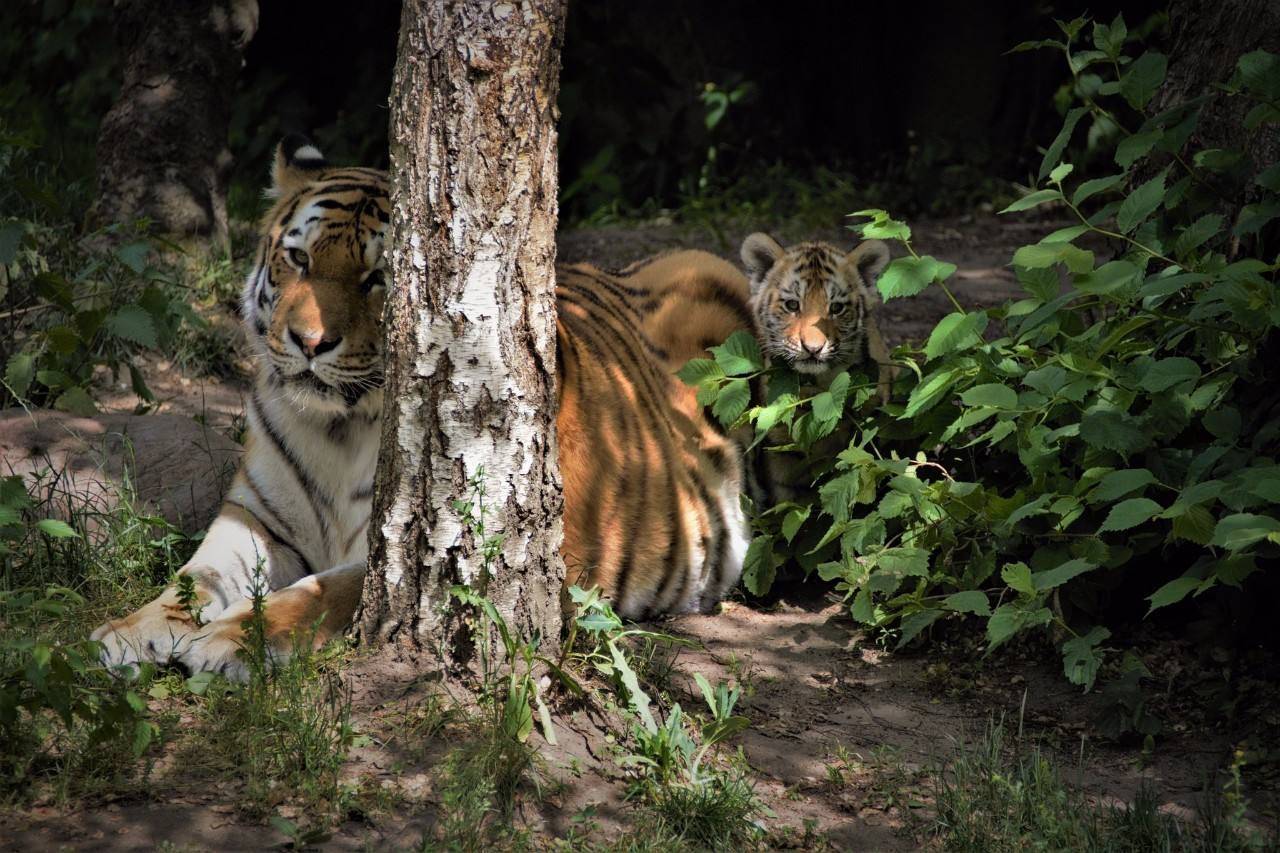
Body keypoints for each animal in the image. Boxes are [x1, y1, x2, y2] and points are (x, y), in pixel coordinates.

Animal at [94, 139, 752, 676]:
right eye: (300, 260)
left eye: (378, 279)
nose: (308, 341)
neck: (338, 431)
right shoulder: (258, 518)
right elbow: (193, 578)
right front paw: (128, 633)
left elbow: (326, 592)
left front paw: (233, 641)